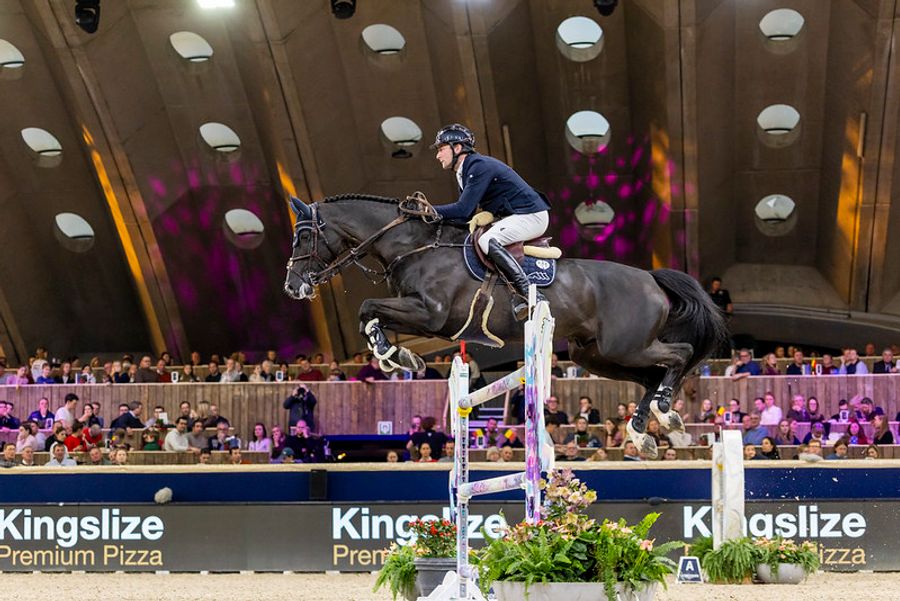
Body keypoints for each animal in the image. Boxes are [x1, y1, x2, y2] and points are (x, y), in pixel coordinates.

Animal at [283, 194, 728, 458]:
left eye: (302, 238)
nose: (292, 287)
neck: (414, 246)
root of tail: (651, 278)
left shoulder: (431, 314)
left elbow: (367, 307)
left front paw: (395, 355)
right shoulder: (424, 317)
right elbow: (369, 313)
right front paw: (397, 356)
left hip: (626, 345)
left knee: (680, 354)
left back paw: (666, 411)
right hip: (596, 354)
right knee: (649, 376)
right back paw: (645, 429)